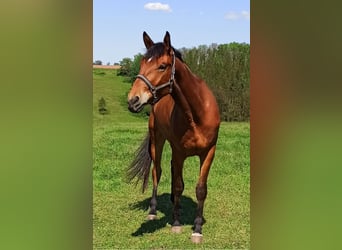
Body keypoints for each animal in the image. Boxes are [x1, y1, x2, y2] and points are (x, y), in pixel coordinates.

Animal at [127, 30, 220, 243]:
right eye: (142, 63)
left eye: (162, 66)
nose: (133, 100)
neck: (196, 114)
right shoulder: (179, 152)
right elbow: (178, 185)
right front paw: (176, 223)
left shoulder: (209, 153)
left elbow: (200, 189)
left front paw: (197, 229)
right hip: (158, 141)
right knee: (157, 171)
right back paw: (153, 210)